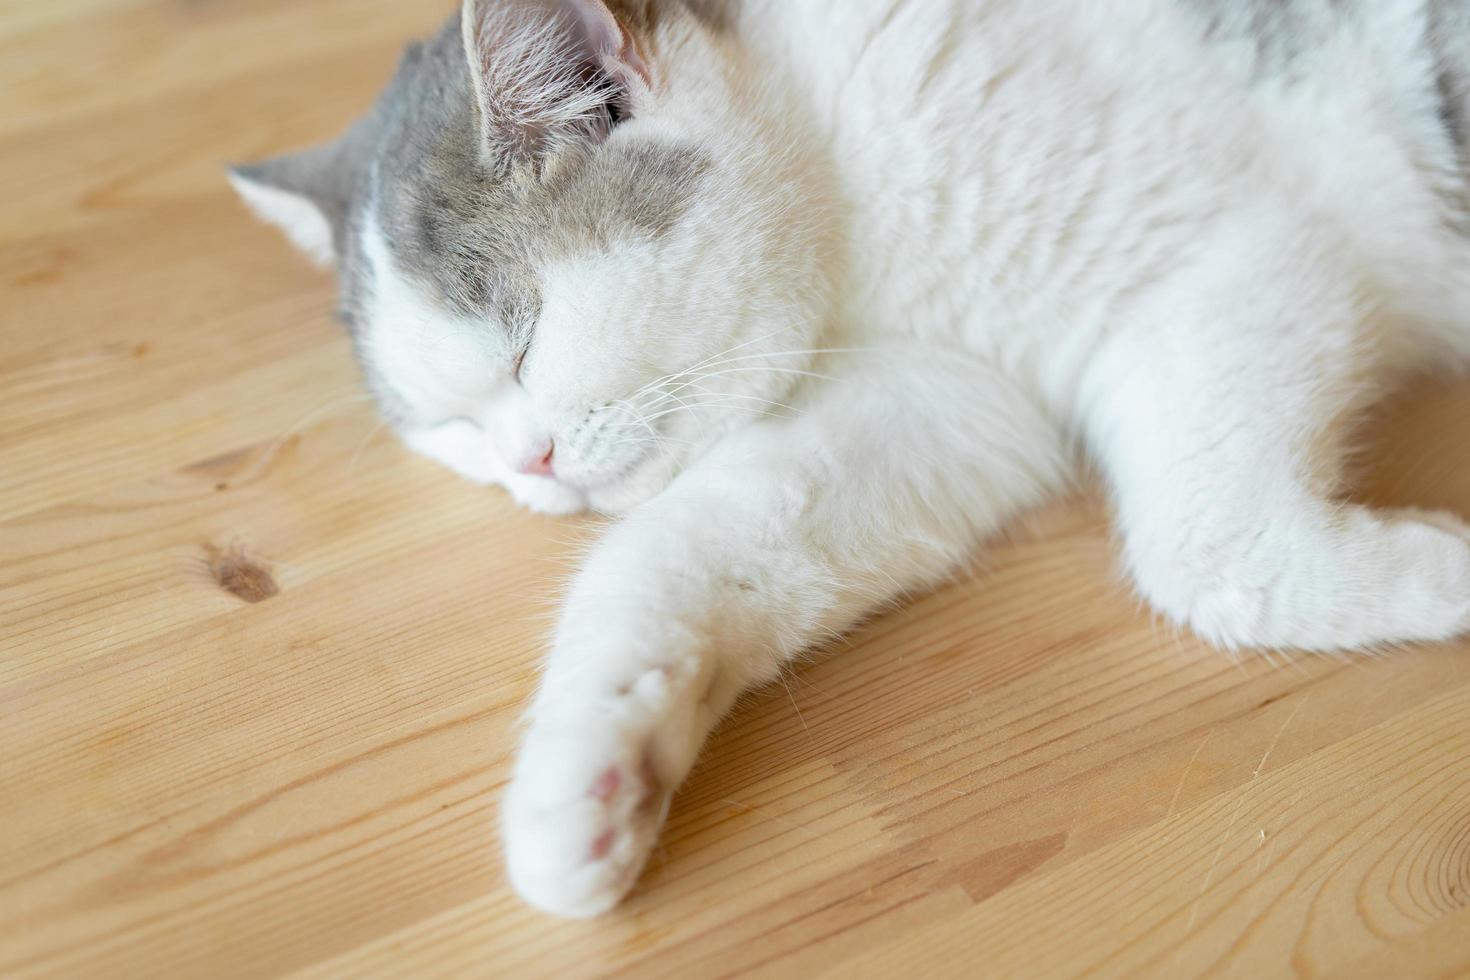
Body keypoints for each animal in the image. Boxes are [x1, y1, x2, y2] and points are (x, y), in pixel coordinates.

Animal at [229, 0, 1470, 922]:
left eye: (525, 336)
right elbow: (673, 550)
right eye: (446, 427)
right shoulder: (954, 401)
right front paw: (584, 778)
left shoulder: (1251, 248)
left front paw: (1446, 573)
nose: (525, 462)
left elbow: (1204, 554)